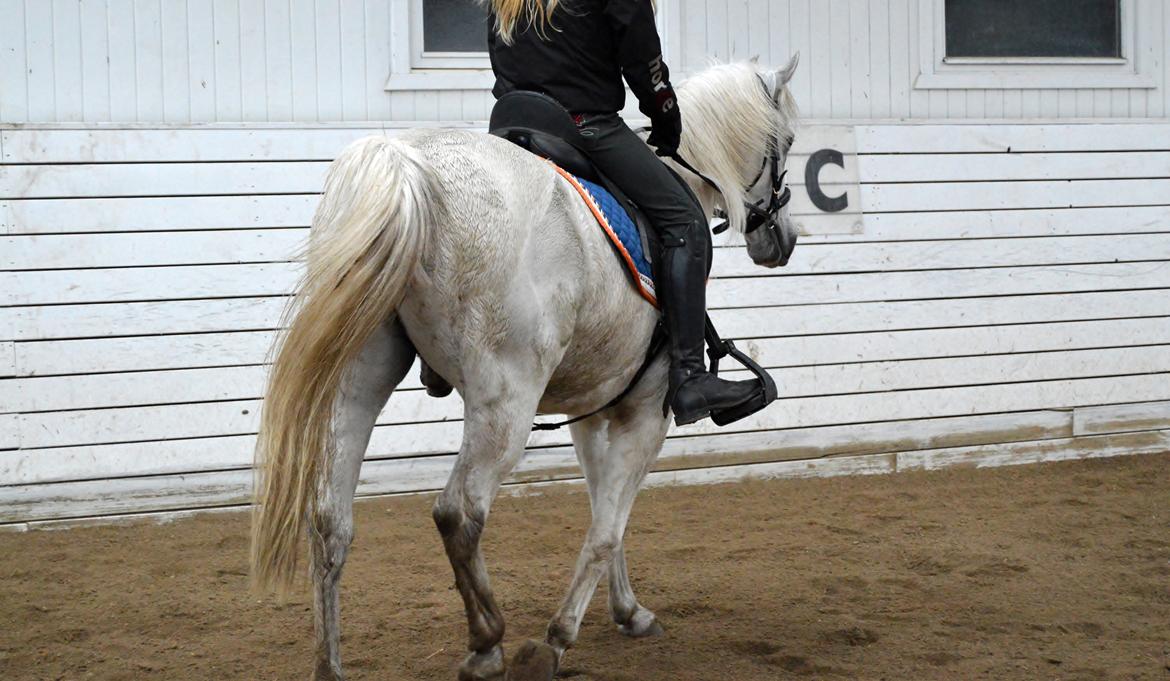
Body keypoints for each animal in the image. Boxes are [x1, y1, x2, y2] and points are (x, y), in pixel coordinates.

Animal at [250, 56, 801, 681]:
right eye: (785, 141)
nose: (782, 239)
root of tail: (411, 167)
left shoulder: (595, 411)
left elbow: (604, 512)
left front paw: (627, 610)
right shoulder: (645, 414)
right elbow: (607, 528)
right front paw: (557, 638)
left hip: (358, 383)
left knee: (330, 520)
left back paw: (330, 661)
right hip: (504, 406)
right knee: (458, 512)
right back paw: (488, 644)